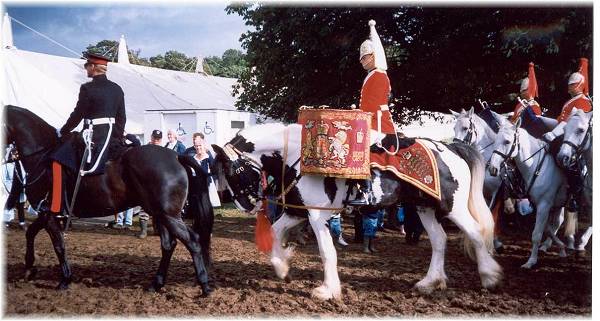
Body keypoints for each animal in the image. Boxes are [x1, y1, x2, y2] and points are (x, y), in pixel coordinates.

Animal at [1, 104, 213, 296]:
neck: (42, 156)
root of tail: (177, 156)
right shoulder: (45, 213)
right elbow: (31, 233)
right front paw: (29, 267)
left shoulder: (48, 214)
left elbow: (59, 245)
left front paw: (65, 279)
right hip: (161, 215)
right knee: (168, 246)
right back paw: (156, 284)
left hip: (169, 216)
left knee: (192, 242)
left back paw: (204, 286)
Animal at [211, 123, 502, 300]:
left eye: (232, 172)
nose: (245, 205)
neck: (297, 157)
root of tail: (450, 148)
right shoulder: (298, 213)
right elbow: (274, 231)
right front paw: (282, 267)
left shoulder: (317, 217)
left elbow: (327, 252)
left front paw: (327, 290)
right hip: (424, 207)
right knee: (439, 241)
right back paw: (430, 282)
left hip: (452, 207)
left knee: (475, 233)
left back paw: (489, 277)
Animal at [488, 118, 568, 268]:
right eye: (496, 139)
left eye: (507, 141)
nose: (492, 168)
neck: (536, 166)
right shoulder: (539, 205)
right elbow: (547, 228)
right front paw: (561, 247)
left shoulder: (544, 205)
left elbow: (536, 234)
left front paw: (531, 261)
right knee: (558, 222)